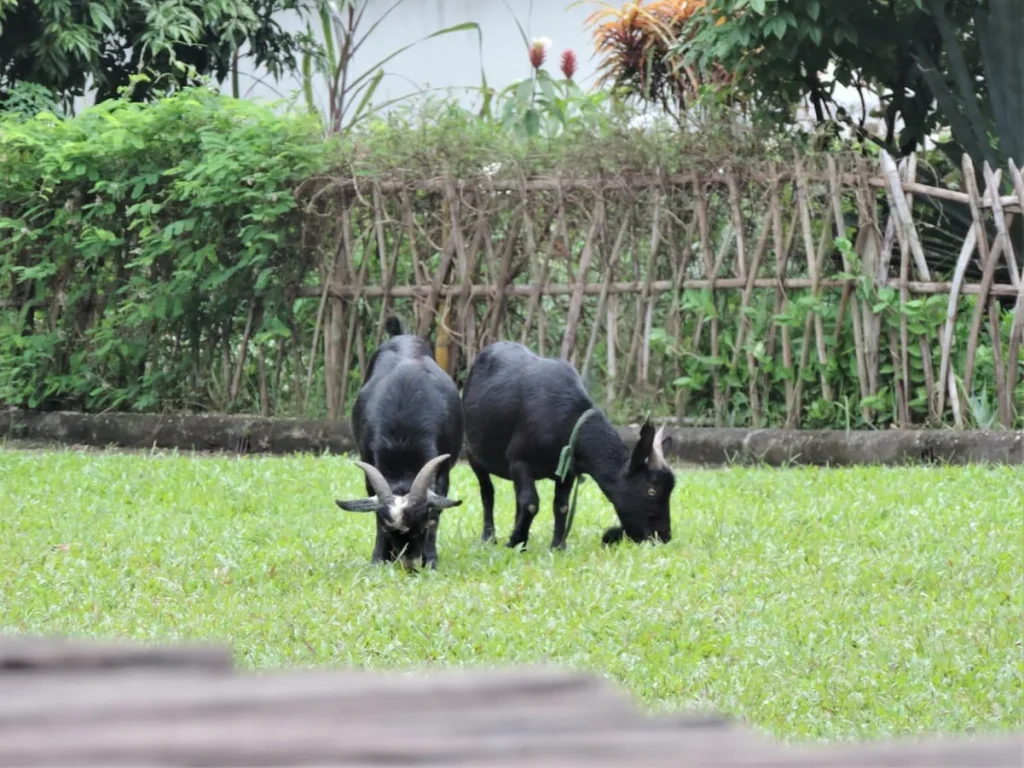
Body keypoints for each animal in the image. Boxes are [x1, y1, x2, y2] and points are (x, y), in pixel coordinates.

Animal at [334, 315, 464, 569]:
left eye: (423, 526)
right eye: (387, 529)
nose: (408, 563)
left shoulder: (443, 469)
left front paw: (431, 559)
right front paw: (378, 558)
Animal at [461, 341, 675, 550]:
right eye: (652, 490)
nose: (663, 537)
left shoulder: (568, 472)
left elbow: (561, 506)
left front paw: (557, 545)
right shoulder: (519, 461)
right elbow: (530, 503)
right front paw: (515, 541)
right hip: (473, 454)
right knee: (488, 493)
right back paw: (489, 537)